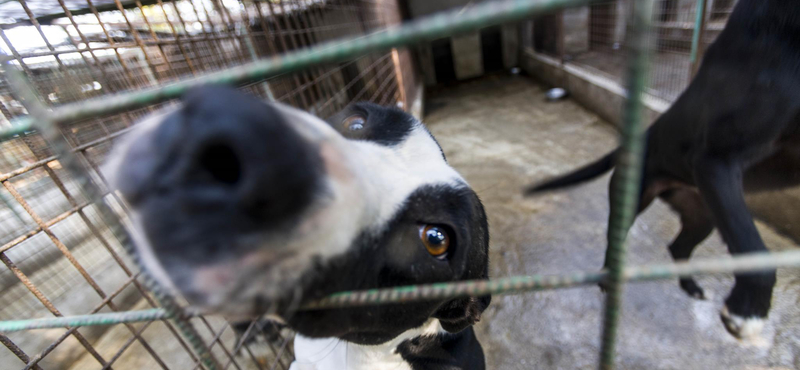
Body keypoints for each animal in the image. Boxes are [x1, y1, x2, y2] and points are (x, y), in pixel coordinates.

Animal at [524, 0, 800, 342]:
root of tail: (640, 138)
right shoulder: (716, 158)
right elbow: (754, 249)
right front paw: (747, 311)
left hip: (704, 215)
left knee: (678, 246)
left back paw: (690, 286)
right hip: (634, 201)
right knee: (616, 242)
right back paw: (609, 280)